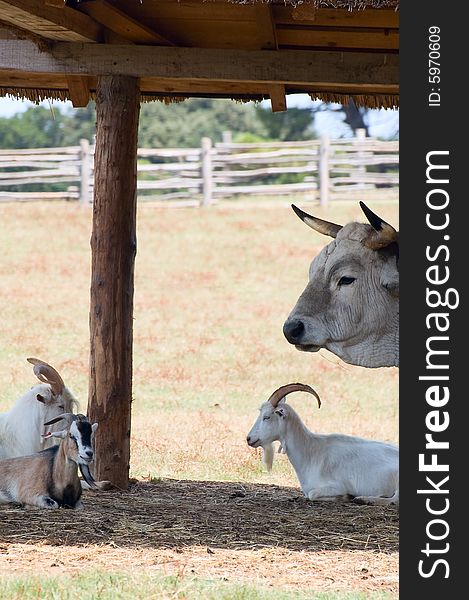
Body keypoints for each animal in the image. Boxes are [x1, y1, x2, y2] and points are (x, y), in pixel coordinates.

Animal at [247, 382, 396, 504]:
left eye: (267, 417)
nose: (249, 438)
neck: (311, 452)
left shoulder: (336, 486)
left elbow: (312, 494)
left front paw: (346, 496)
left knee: (394, 500)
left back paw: (364, 499)